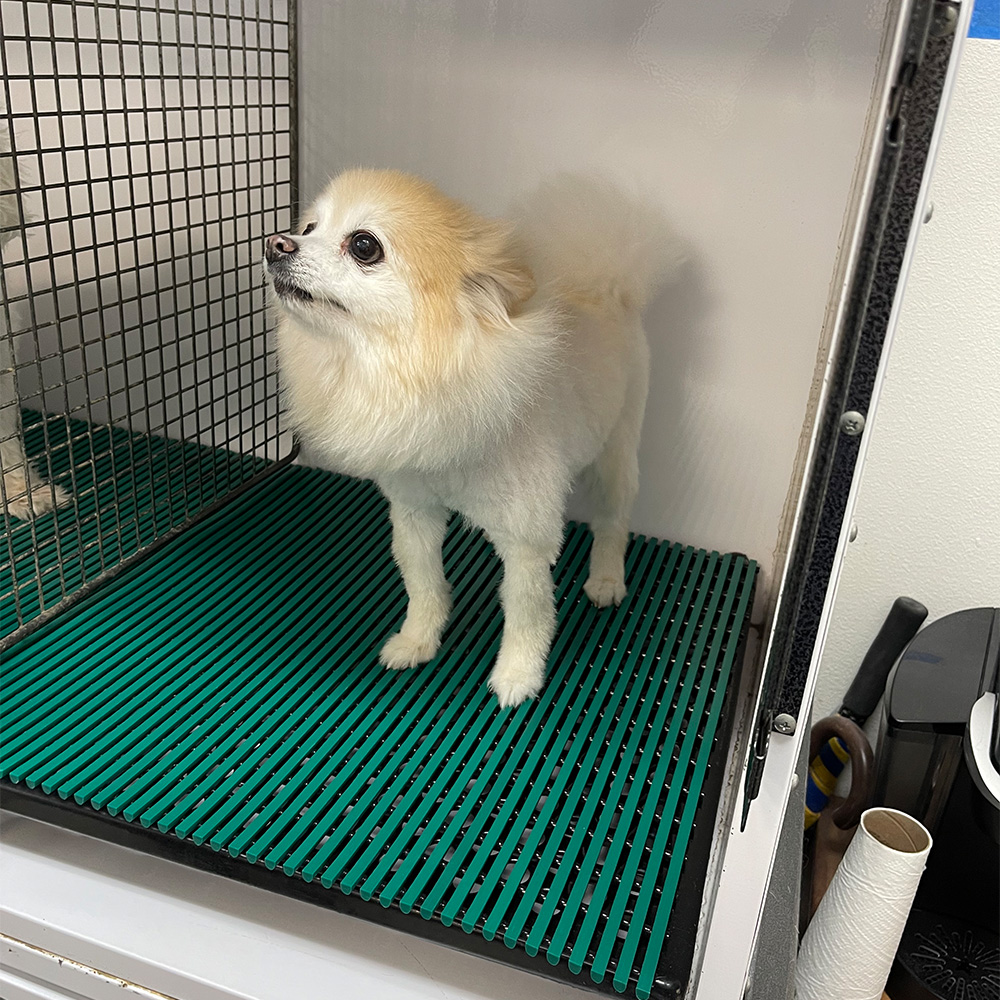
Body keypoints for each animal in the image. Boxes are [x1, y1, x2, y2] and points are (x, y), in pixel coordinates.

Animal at [266, 170, 680, 704]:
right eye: (310, 226)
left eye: (363, 245)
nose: (276, 243)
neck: (421, 372)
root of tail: (607, 289)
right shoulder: (414, 509)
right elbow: (423, 585)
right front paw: (417, 640)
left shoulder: (525, 539)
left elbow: (527, 613)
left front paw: (518, 675)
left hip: (616, 453)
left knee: (613, 521)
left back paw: (606, 578)